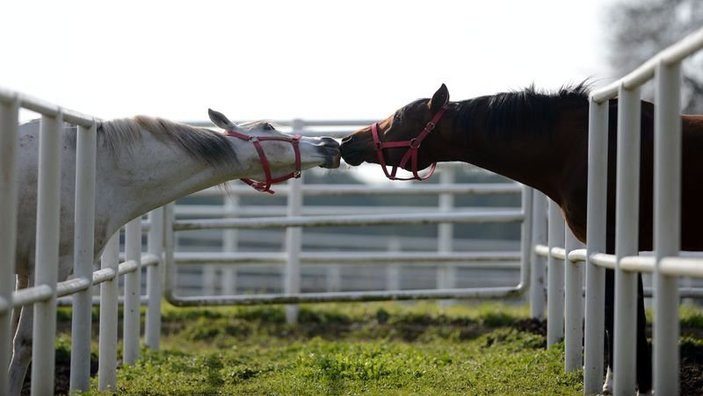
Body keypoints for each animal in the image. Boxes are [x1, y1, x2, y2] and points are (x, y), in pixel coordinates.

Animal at [8, 109, 340, 396]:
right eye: (268, 127)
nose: (330, 144)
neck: (94, 171)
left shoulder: (23, 274)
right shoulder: (45, 270)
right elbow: (25, 342)